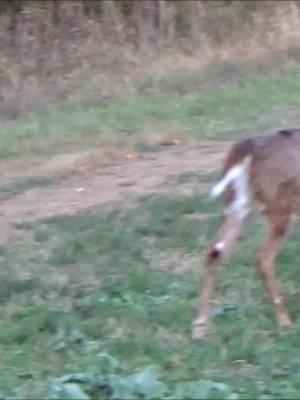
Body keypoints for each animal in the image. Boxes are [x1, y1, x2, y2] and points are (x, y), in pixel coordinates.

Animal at [191, 129, 300, 340]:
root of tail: (246, 148)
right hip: (281, 205)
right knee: (263, 257)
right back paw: (285, 323)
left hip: (237, 204)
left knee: (213, 253)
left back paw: (200, 327)